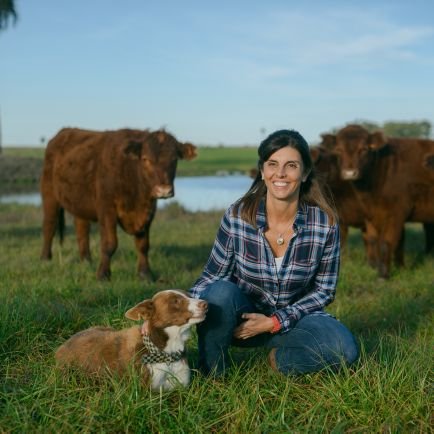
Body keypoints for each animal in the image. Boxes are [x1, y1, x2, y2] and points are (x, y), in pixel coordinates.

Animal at [40, 127, 197, 280]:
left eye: (174, 159)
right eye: (145, 159)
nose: (164, 190)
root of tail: (64, 132)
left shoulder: (149, 212)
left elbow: (143, 245)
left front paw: (145, 274)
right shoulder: (107, 209)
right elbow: (109, 243)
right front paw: (103, 275)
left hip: (80, 203)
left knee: (82, 229)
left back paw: (86, 261)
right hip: (49, 194)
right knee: (49, 225)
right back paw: (45, 259)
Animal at [55, 290, 208, 392]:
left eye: (189, 295)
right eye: (175, 301)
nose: (205, 304)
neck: (166, 352)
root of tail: (62, 346)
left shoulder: (182, 388)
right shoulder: (148, 392)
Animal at [320, 124, 434, 276]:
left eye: (364, 149)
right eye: (339, 149)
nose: (350, 173)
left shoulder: (396, 213)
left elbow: (386, 243)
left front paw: (383, 274)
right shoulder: (370, 214)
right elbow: (373, 240)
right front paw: (375, 266)